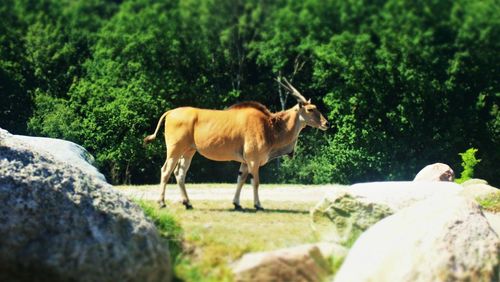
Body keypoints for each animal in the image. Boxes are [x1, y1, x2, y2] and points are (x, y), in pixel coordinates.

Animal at [144, 78, 328, 210]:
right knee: (166, 170)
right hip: (174, 150)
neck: (270, 125)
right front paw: (258, 205)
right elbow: (255, 182)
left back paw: (187, 203)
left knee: (179, 173)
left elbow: (240, 179)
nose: (327, 123)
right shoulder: (253, 160)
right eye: (311, 109)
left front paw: (237, 204)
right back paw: (161, 203)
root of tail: (170, 112)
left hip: (188, 151)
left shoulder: (245, 162)